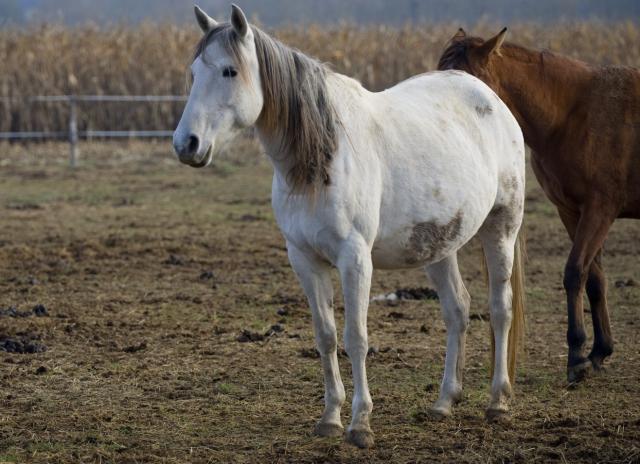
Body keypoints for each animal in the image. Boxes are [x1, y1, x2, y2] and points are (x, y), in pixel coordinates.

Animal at [174, 4, 524, 450]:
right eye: (194, 71)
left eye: (229, 71)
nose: (186, 144)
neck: (321, 158)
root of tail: (488, 96)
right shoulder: (304, 260)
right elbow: (325, 336)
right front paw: (329, 418)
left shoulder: (355, 259)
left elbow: (356, 337)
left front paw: (361, 424)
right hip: (438, 245)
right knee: (457, 310)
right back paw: (444, 401)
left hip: (502, 228)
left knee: (500, 309)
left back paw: (498, 402)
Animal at [438, 29, 640, 384]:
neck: (573, 114)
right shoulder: (571, 211)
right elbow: (594, 277)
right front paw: (599, 351)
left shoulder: (600, 209)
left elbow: (574, 272)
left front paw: (576, 355)